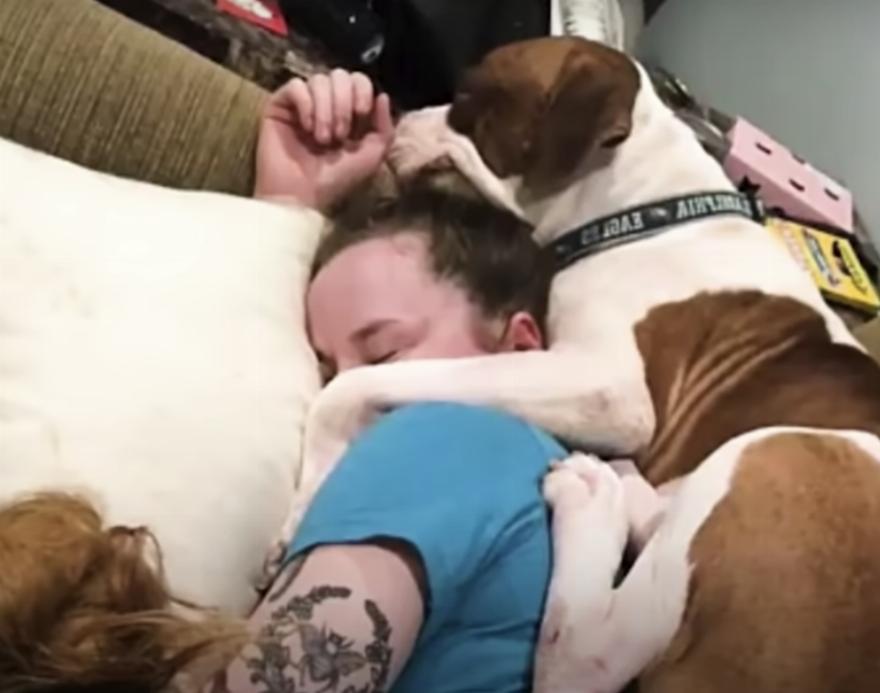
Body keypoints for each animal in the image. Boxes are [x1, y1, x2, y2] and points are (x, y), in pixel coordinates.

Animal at [291, 37, 880, 692]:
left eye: (469, 98)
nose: (402, 118)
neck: (640, 210)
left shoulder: (610, 390)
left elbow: (358, 382)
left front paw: (310, 489)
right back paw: (629, 489)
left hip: (781, 453)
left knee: (584, 661)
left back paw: (592, 500)